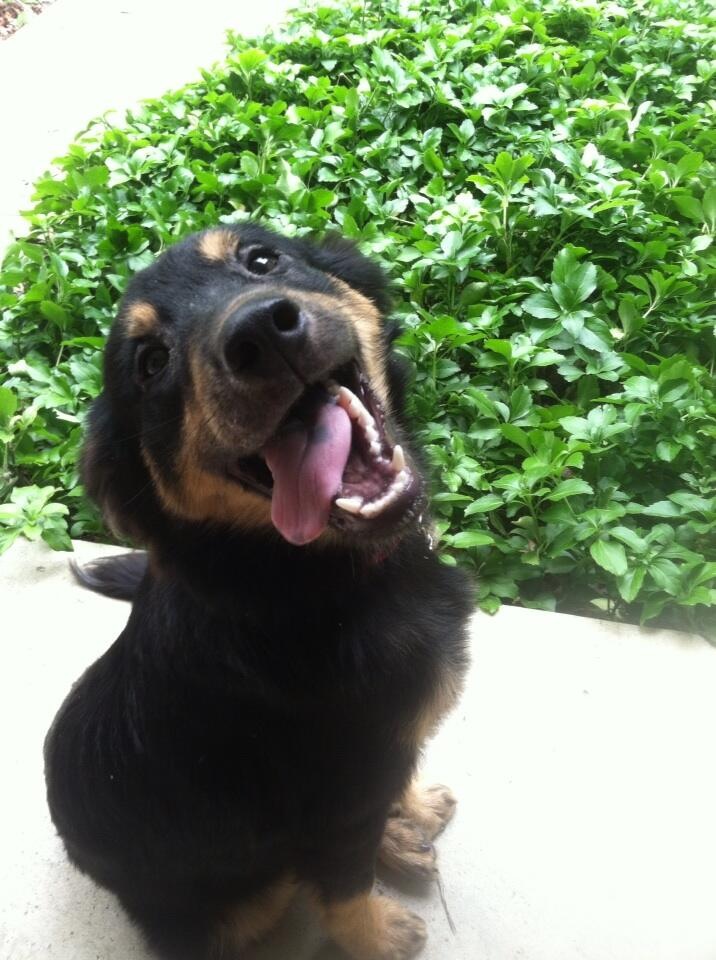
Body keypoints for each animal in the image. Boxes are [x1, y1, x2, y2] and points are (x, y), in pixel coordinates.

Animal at [42, 225, 472, 960]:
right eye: (150, 363)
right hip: (244, 894)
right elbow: (343, 887)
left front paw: (408, 809)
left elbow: (394, 782)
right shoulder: (330, 804)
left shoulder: (377, 766)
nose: (262, 334)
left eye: (261, 259)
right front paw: (379, 935)